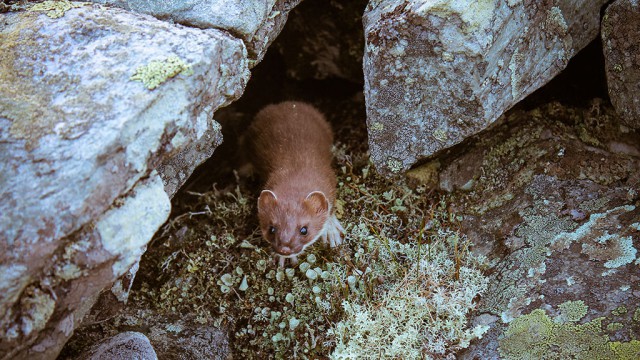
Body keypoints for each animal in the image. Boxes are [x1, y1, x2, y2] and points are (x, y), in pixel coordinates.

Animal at [246, 100, 344, 264]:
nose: (284, 249)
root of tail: (285, 104)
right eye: (271, 228)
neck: (296, 168)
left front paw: (331, 231)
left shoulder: (330, 178)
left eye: (304, 229)